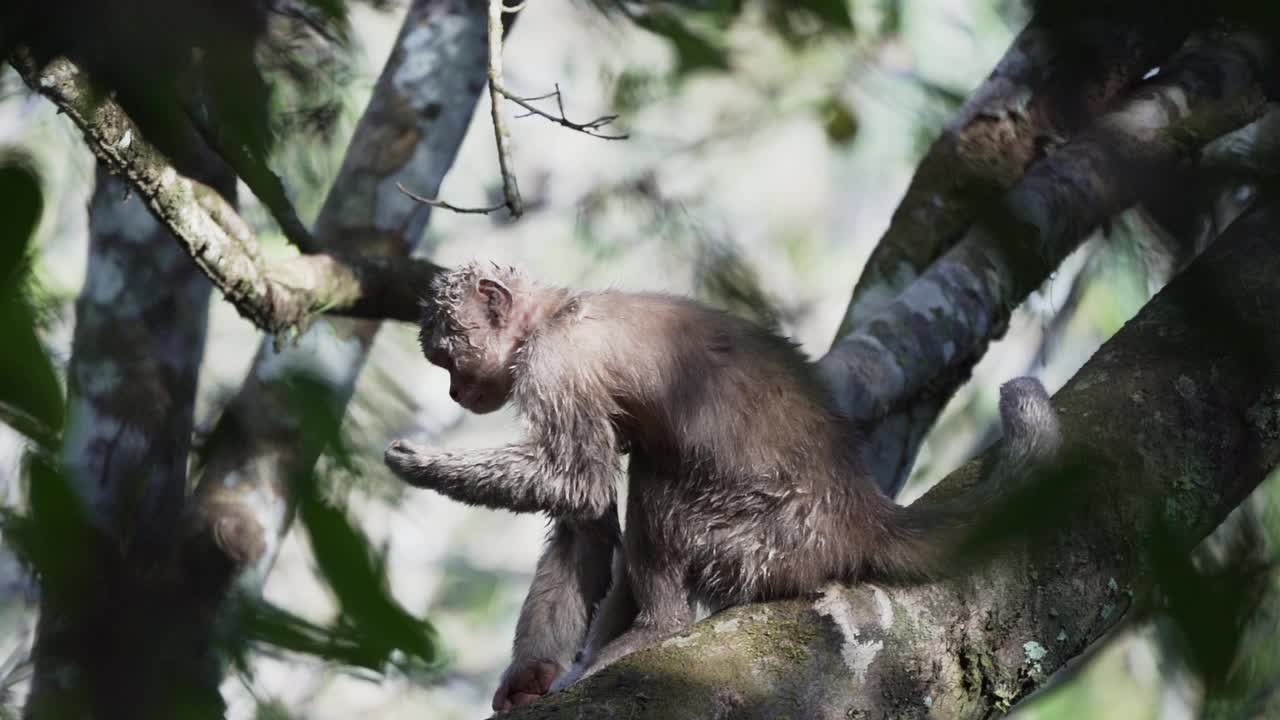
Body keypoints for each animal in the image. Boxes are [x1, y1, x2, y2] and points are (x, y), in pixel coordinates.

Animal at [384, 258, 1064, 702]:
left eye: (447, 359)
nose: (454, 390)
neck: (555, 315)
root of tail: (858, 507)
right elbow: (585, 522)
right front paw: (529, 677)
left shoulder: (557, 364)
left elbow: (578, 482)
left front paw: (422, 466)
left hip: (769, 538)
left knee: (658, 474)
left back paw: (658, 629)